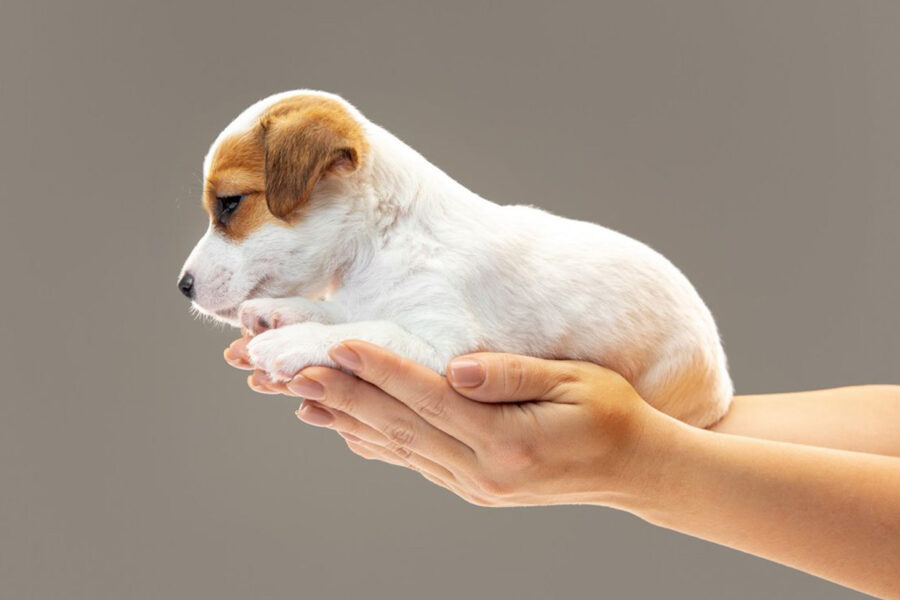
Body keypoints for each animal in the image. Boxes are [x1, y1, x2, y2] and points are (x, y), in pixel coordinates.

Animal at [179, 89, 736, 426]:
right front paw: (284, 313)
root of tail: (724, 388)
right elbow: (347, 314)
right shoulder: (365, 298)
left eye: (230, 203)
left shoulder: (445, 346)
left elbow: (364, 330)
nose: (182, 287)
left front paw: (292, 342)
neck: (382, 242)